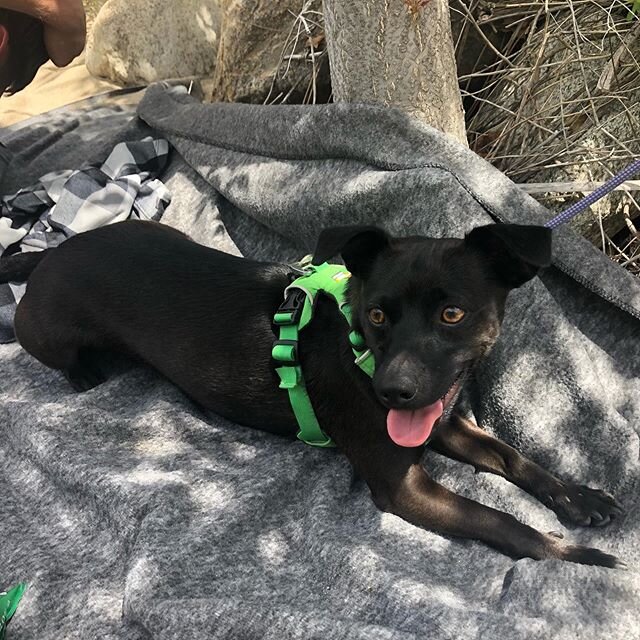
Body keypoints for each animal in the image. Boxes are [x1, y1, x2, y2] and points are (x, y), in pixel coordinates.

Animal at [0, 222, 624, 568]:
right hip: (46, 335)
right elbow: (501, 522)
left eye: (452, 314)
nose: (392, 391)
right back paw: (85, 376)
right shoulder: (403, 487)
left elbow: (514, 457)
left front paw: (578, 498)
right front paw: (573, 555)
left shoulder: (441, 420)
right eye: (377, 314)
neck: (356, 343)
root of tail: (48, 254)